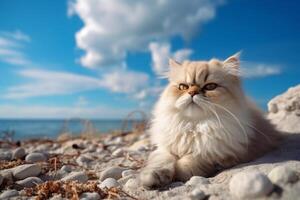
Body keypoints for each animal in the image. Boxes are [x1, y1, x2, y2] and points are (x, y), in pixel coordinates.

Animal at [140, 53, 282, 189]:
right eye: (183, 87)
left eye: (210, 86)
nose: (192, 93)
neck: (194, 126)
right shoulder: (164, 149)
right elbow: (161, 162)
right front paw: (151, 178)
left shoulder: (220, 153)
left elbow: (192, 160)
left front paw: (179, 171)